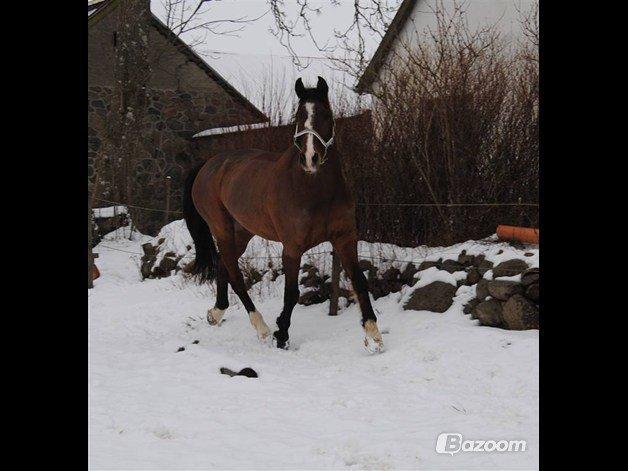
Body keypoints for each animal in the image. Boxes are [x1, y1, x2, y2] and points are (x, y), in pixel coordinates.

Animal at [183, 74, 382, 354]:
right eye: (299, 115)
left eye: (325, 114)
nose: (310, 158)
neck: (314, 190)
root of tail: (207, 165)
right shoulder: (292, 248)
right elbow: (292, 294)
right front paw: (282, 333)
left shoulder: (345, 238)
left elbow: (359, 280)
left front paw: (374, 334)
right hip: (221, 228)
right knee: (235, 274)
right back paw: (261, 327)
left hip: (242, 232)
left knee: (224, 264)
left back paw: (217, 312)